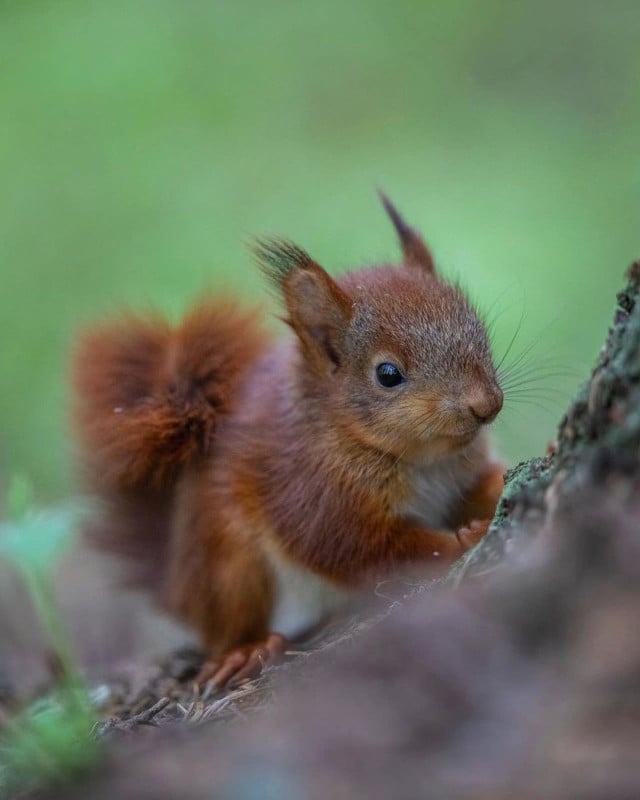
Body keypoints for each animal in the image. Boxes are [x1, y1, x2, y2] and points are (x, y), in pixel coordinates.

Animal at [72, 194, 504, 688]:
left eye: (477, 327)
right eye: (388, 374)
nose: (486, 404)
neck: (423, 461)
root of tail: (176, 585)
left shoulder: (457, 478)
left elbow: (477, 489)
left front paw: (504, 484)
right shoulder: (314, 497)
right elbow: (364, 548)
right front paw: (462, 541)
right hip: (230, 563)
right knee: (227, 625)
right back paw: (245, 650)